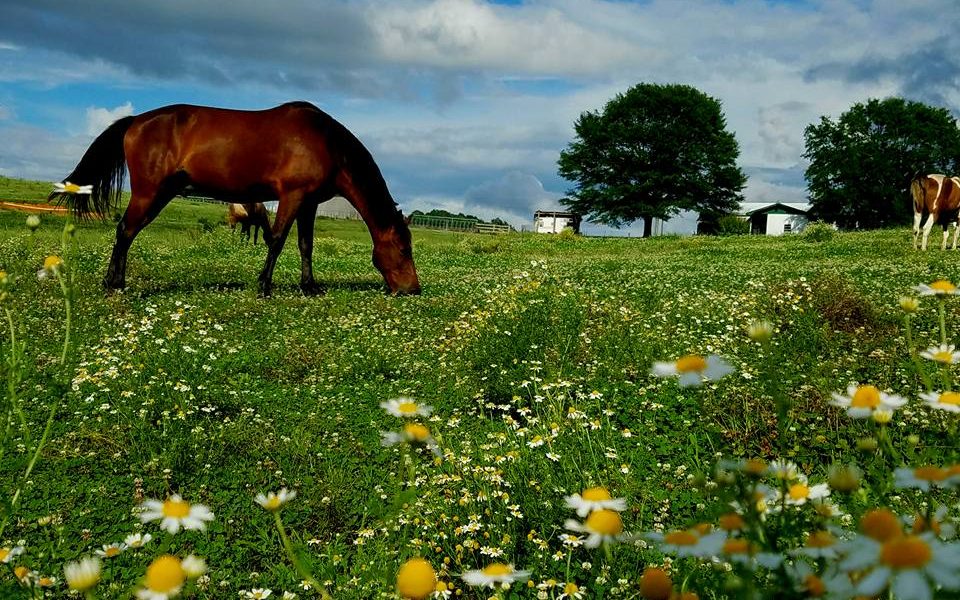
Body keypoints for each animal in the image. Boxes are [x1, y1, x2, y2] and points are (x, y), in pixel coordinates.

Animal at [49, 102, 420, 296]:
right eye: (404, 250)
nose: (413, 289)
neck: (325, 141)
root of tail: (135, 121)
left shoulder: (310, 203)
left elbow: (305, 245)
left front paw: (309, 287)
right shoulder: (292, 196)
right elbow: (277, 240)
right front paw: (264, 286)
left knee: (126, 232)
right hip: (148, 194)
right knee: (125, 231)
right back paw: (114, 283)